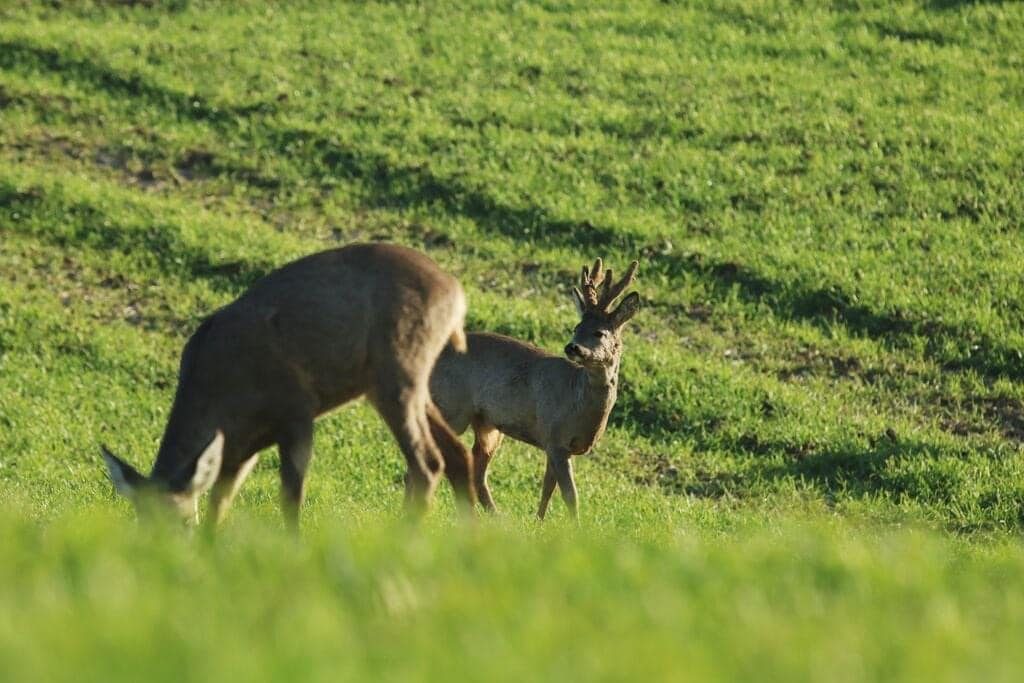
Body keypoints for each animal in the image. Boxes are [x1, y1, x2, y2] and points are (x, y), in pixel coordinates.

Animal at [99, 242, 475, 532]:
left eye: (180, 522)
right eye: (140, 521)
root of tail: (455, 291)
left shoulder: (296, 410)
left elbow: (290, 498)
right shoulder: (241, 446)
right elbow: (220, 502)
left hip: (397, 368)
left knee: (428, 462)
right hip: (398, 383)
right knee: (458, 453)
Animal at [430, 255, 638, 518]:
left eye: (599, 332)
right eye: (576, 328)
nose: (572, 347)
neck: (577, 400)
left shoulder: (555, 444)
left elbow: (547, 488)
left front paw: (539, 520)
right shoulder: (555, 438)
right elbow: (571, 495)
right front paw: (576, 525)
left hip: (487, 424)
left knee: (477, 470)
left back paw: (495, 516)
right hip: (452, 407)